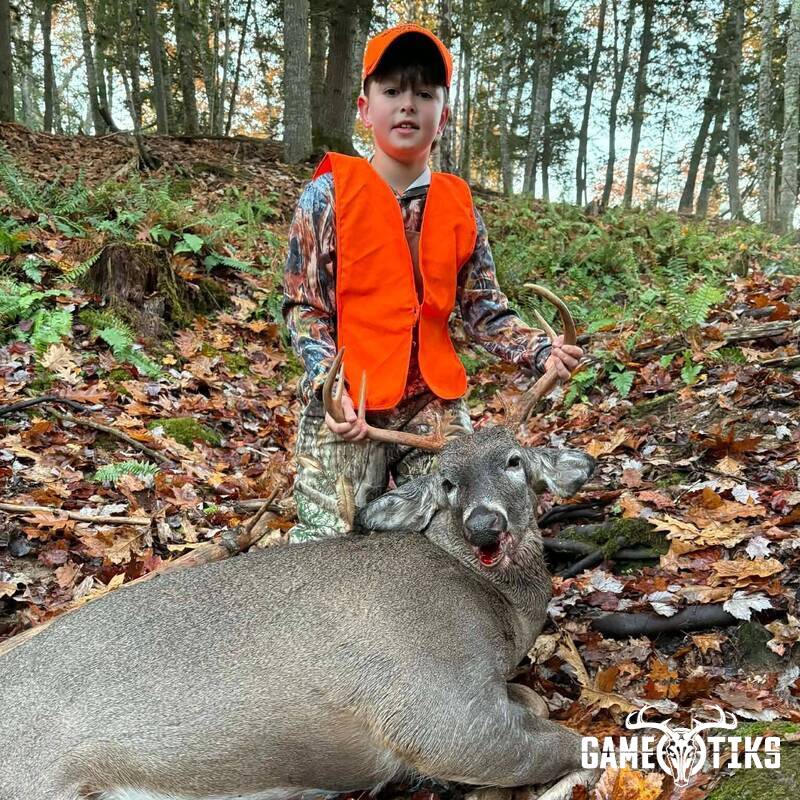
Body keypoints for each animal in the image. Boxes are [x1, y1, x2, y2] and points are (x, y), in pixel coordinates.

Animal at [0, 286, 598, 800]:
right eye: (447, 483)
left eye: (514, 461)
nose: (484, 525)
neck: (500, 611)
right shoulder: (434, 710)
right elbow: (576, 742)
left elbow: (536, 702)